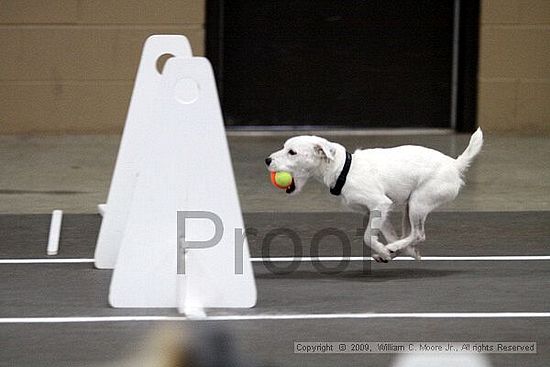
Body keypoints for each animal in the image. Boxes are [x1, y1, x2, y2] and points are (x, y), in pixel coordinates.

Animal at [266, 129, 486, 262]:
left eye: (292, 152)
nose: (267, 160)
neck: (344, 169)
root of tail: (455, 165)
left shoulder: (380, 204)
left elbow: (367, 237)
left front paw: (384, 250)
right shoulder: (378, 211)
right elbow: (385, 233)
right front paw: (389, 251)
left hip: (419, 203)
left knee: (418, 234)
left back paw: (396, 248)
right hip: (410, 207)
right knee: (410, 234)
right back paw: (399, 250)